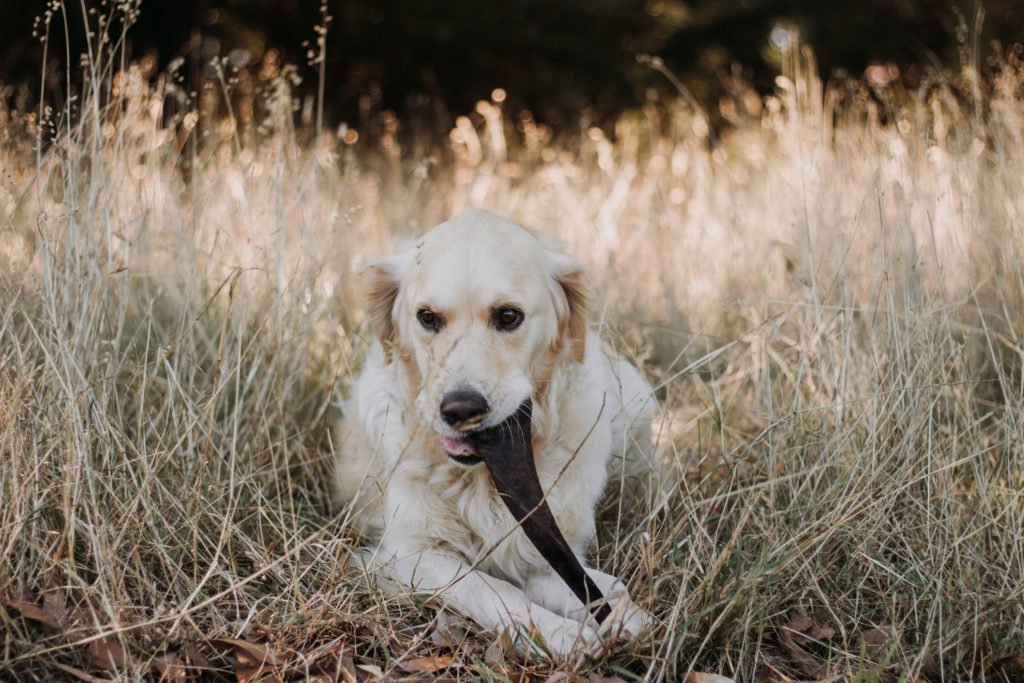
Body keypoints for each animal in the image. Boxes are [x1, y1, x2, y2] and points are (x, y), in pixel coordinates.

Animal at [331, 211, 659, 655]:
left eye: (508, 316)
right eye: (427, 317)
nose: (460, 409)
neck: (480, 476)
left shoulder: (548, 548)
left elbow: (598, 585)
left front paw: (627, 617)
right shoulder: (406, 553)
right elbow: (490, 587)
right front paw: (559, 634)